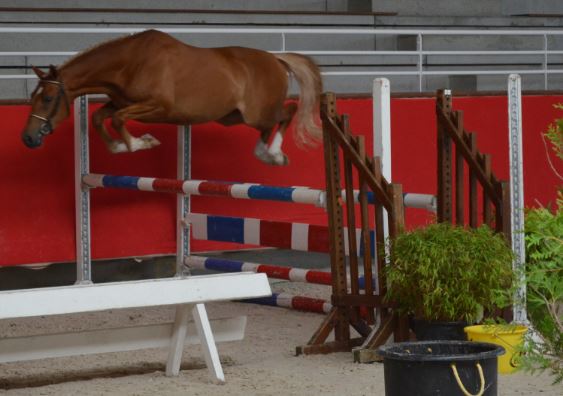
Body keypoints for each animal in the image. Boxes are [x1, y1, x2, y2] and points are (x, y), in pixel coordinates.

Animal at [22, 29, 324, 165]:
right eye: (33, 98)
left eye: (47, 99)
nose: (28, 138)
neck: (130, 63)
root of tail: (276, 59)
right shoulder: (121, 101)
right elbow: (99, 117)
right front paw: (119, 147)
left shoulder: (158, 107)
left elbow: (118, 120)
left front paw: (141, 142)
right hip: (232, 117)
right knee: (271, 123)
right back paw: (264, 152)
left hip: (256, 113)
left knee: (288, 111)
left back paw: (273, 153)